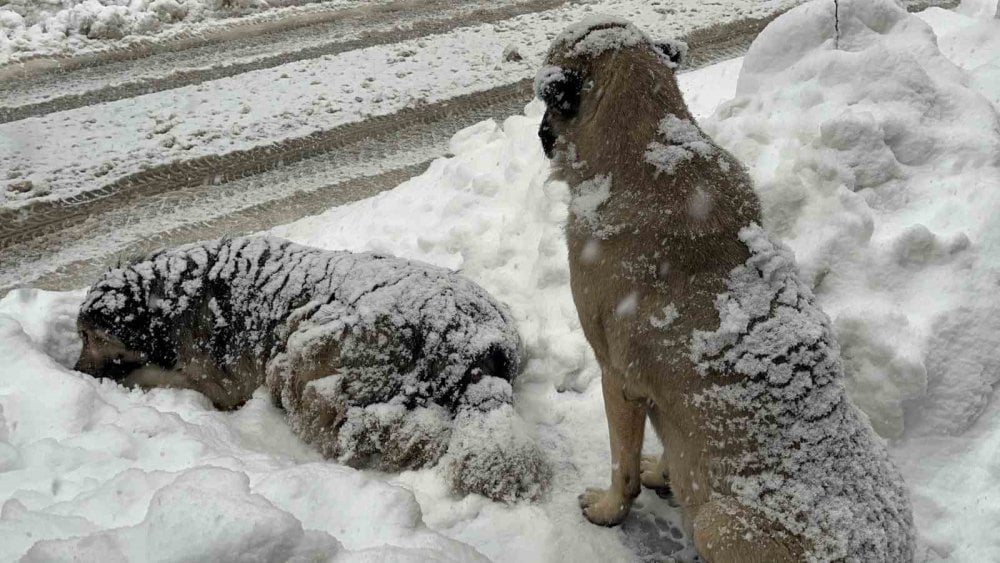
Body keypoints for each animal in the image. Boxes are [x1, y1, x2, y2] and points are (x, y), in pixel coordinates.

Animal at [75, 236, 552, 500]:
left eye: (88, 337)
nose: (76, 369)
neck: (175, 291)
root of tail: (473, 341)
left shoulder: (219, 383)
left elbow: (156, 375)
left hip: (302, 351)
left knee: (386, 432)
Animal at [540, 17, 916, 563]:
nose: (542, 134)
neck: (645, 146)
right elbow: (671, 454)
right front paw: (663, 474)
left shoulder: (617, 379)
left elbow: (622, 466)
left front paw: (611, 508)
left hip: (717, 524)